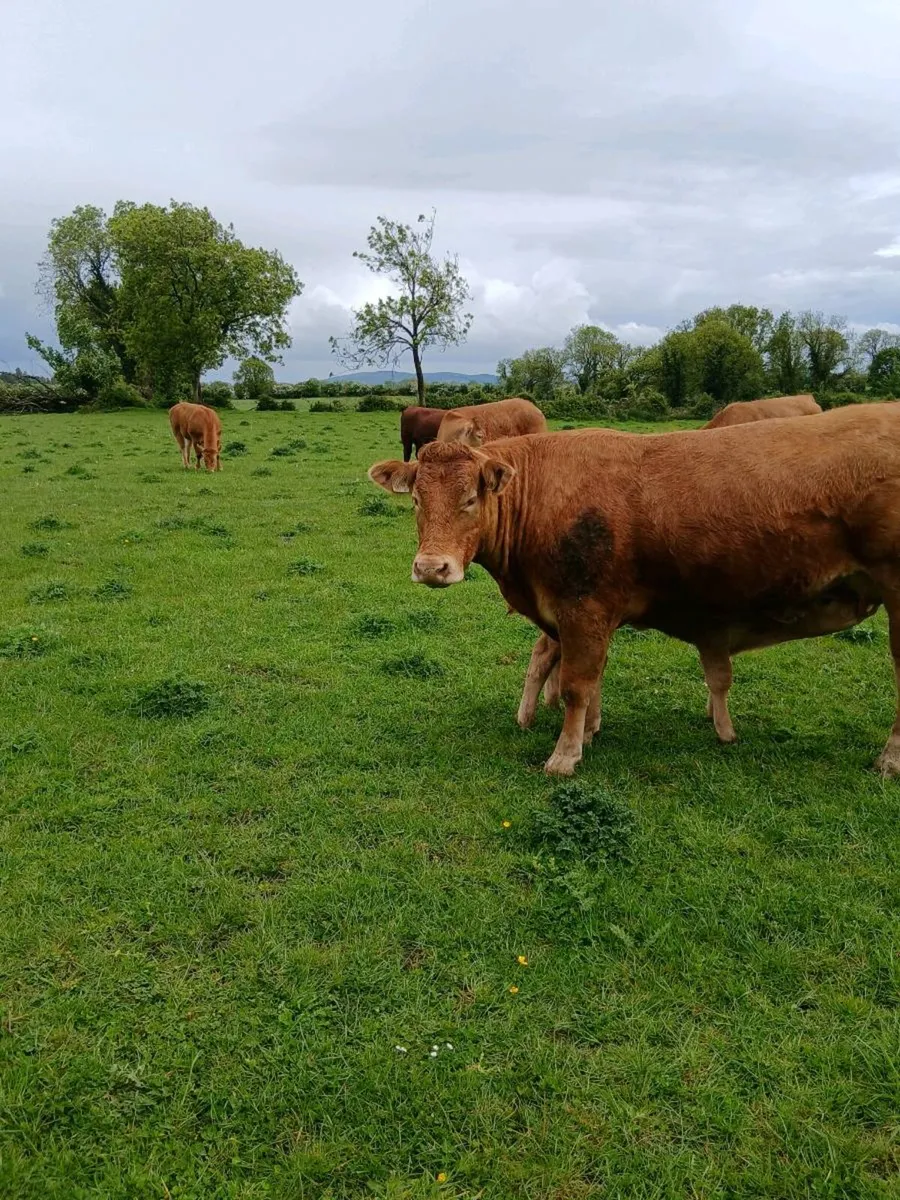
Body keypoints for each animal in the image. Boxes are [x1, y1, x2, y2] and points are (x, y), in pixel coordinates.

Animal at [368, 404, 900, 777]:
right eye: (416, 500)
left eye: (471, 498)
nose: (432, 568)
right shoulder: (578, 615)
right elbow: (588, 679)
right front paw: (588, 733)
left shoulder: (583, 609)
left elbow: (577, 685)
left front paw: (564, 755)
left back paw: (889, 760)